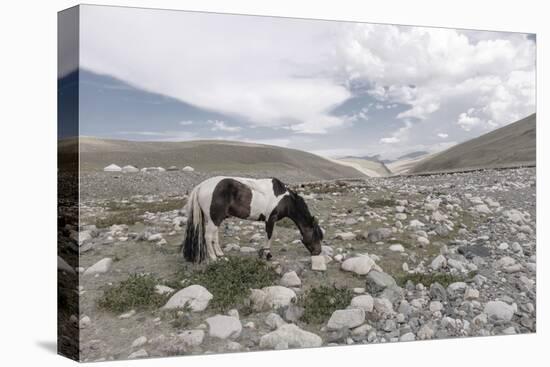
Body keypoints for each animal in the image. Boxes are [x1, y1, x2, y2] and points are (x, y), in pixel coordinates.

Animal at [183, 177, 326, 264]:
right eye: (316, 235)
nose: (318, 252)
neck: (284, 199)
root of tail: (201, 186)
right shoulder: (270, 219)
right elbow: (269, 236)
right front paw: (267, 255)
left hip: (215, 219)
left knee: (214, 236)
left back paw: (220, 254)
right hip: (214, 219)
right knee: (208, 236)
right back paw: (213, 258)